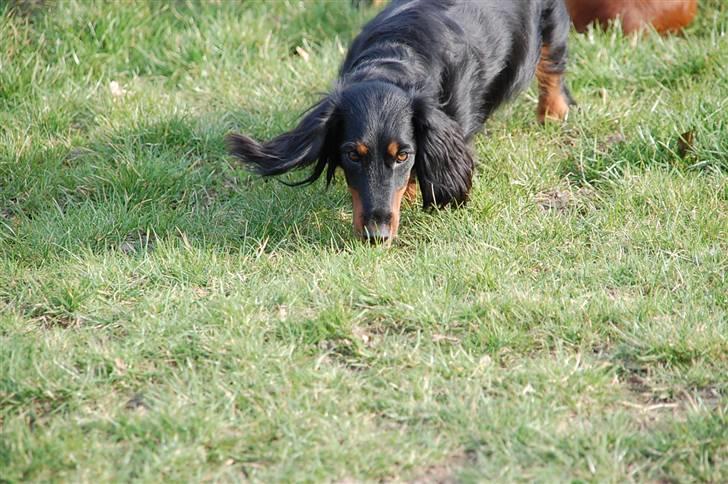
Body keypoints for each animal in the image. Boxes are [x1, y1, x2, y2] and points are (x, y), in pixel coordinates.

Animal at [228, 0, 576, 242]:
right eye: (352, 155)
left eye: (403, 155)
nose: (376, 237)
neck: (396, 58)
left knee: (552, 61)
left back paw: (552, 113)